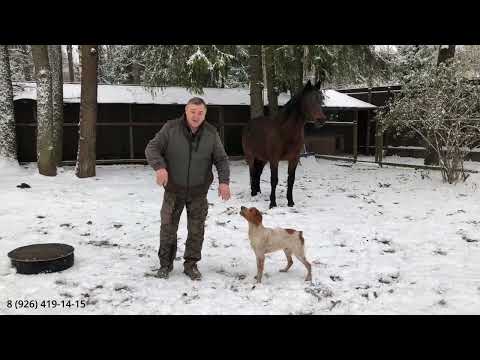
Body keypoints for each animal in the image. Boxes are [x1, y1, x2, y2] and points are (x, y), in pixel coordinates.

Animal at [240, 79, 326, 208]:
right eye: (310, 100)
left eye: (321, 99)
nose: (321, 120)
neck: (285, 131)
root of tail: (248, 126)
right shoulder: (274, 159)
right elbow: (274, 180)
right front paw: (272, 203)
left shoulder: (294, 159)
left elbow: (291, 180)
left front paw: (290, 202)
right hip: (251, 156)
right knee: (252, 173)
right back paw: (253, 193)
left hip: (262, 158)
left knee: (257, 174)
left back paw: (258, 192)